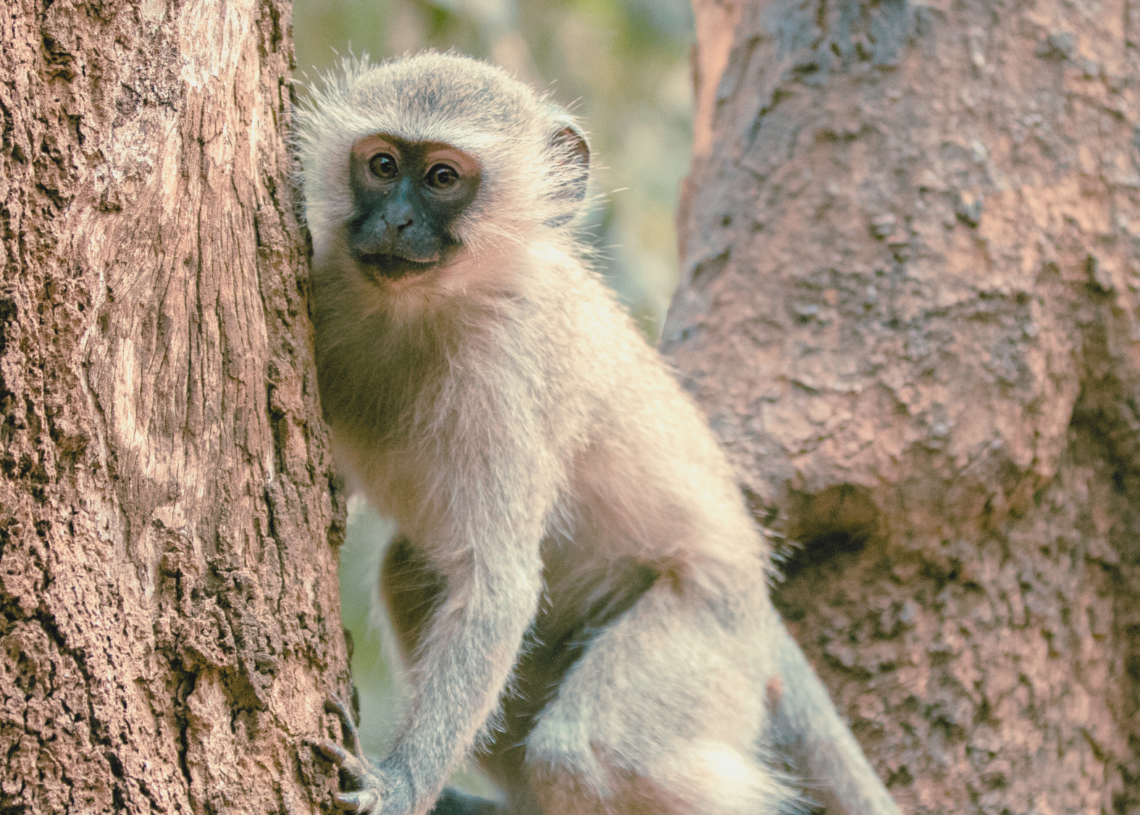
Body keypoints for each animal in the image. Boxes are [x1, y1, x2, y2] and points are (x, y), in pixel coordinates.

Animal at [296, 52, 902, 815]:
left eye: (441, 178)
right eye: (380, 165)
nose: (396, 220)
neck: (413, 310)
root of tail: (756, 601)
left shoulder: (507, 371)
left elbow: (497, 584)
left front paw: (401, 783)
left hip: (707, 629)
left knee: (585, 748)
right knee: (407, 573)